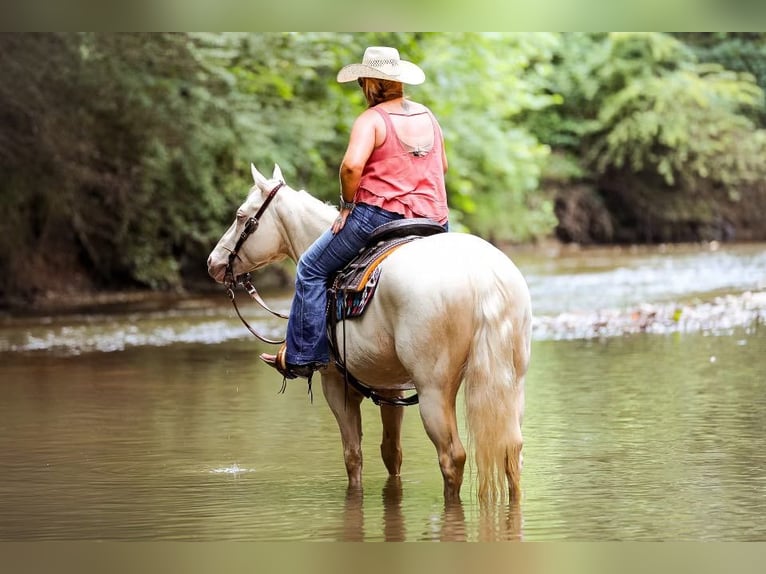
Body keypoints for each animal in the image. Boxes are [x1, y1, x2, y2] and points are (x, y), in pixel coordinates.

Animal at [207, 163, 532, 504]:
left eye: (241, 216)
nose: (213, 262)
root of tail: (484, 275)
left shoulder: (336, 385)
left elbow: (353, 455)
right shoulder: (392, 388)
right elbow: (392, 453)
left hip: (434, 389)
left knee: (452, 457)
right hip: (512, 384)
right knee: (512, 452)